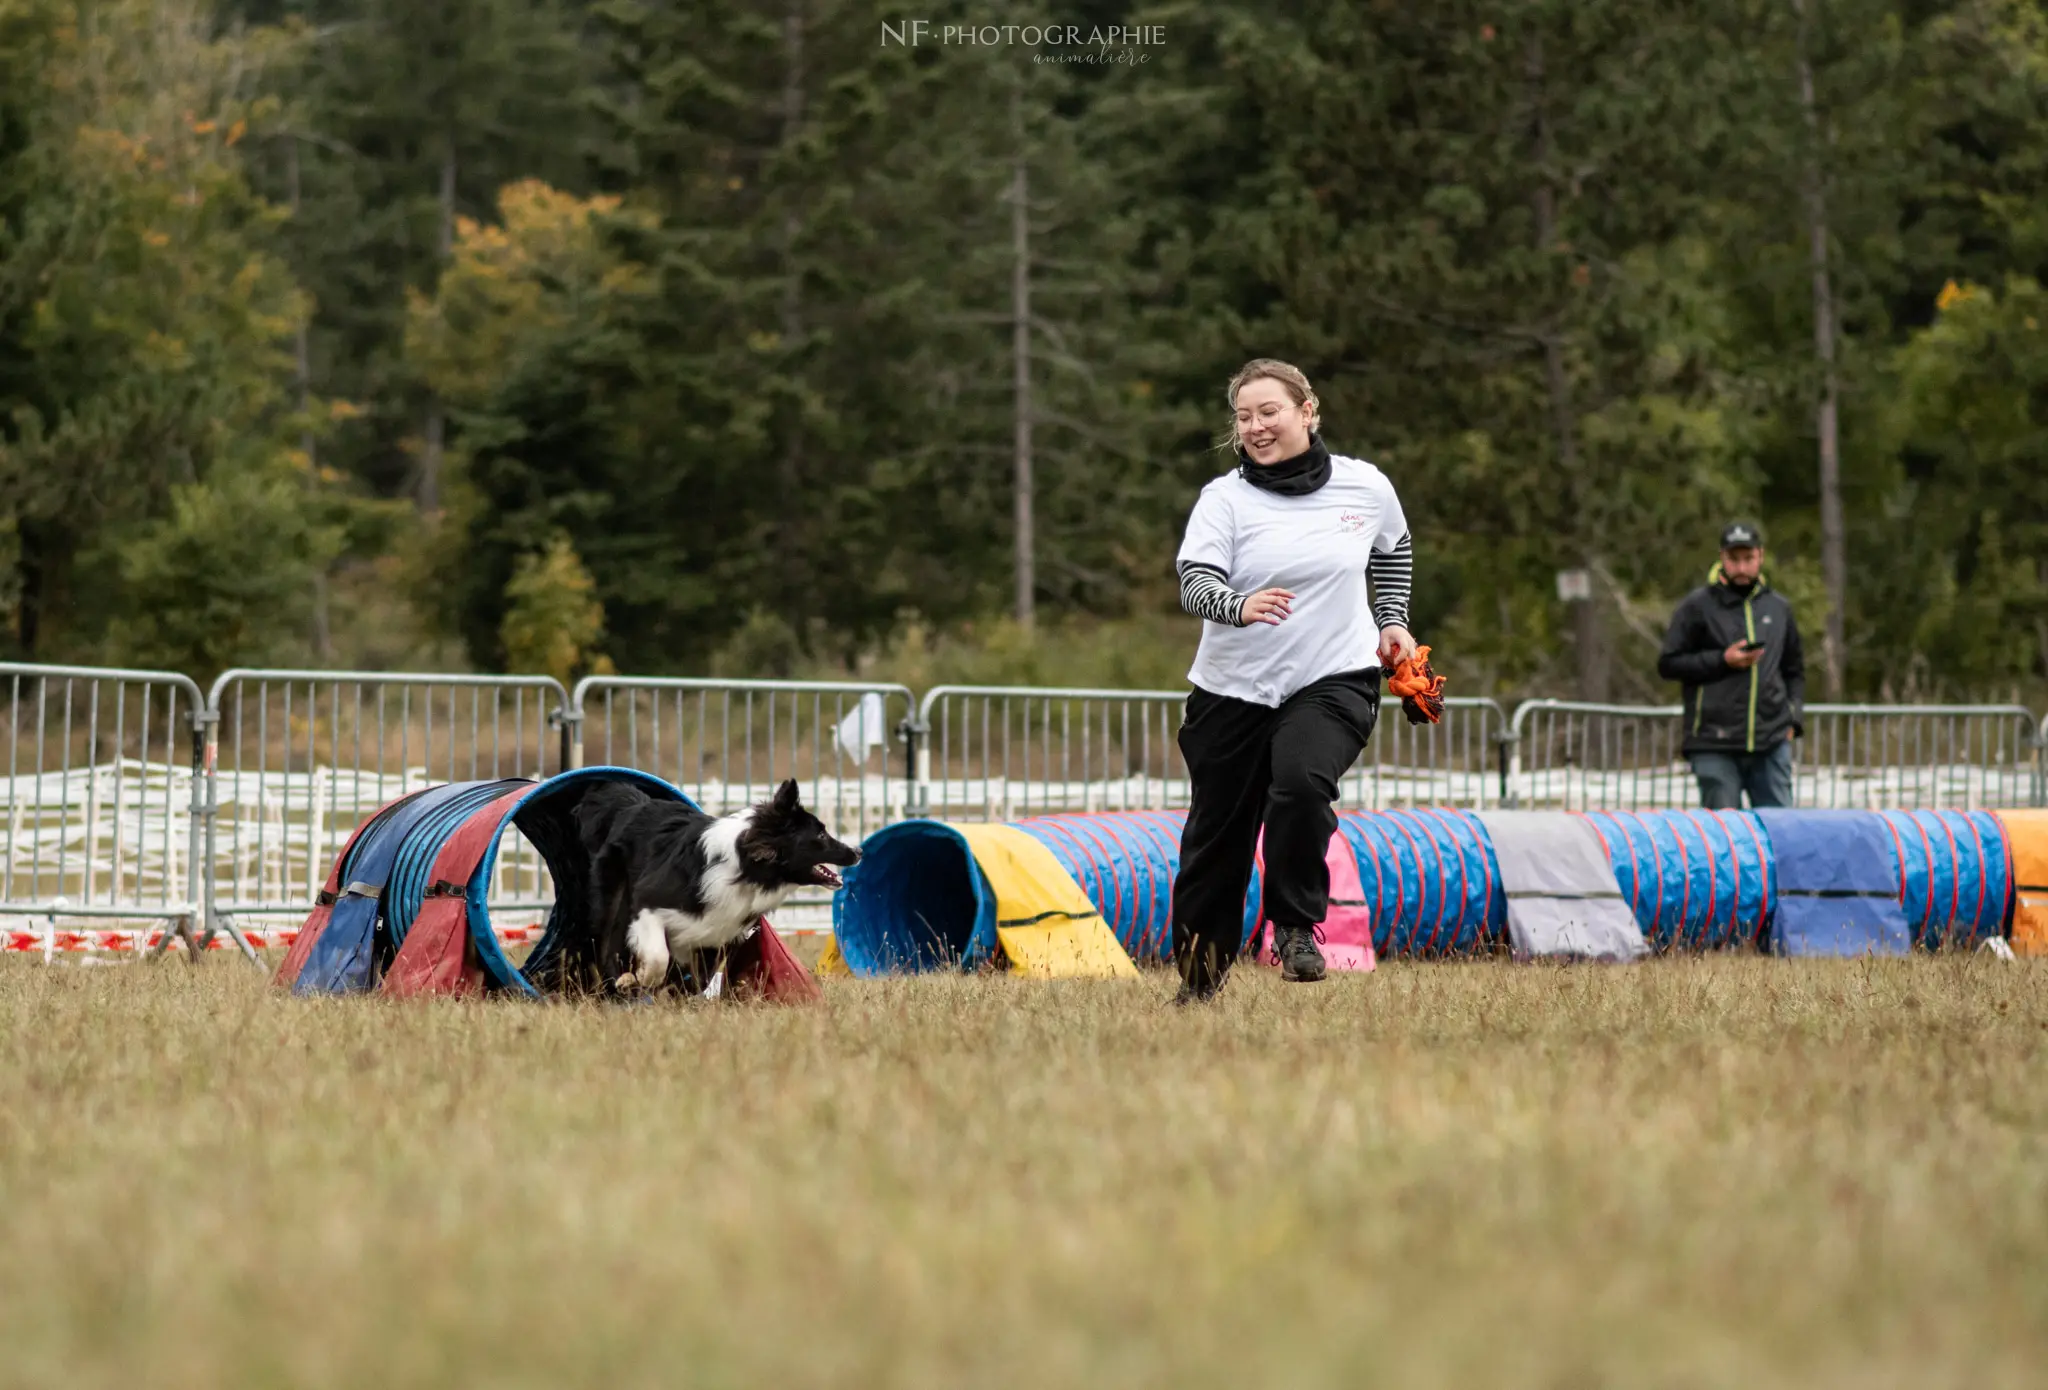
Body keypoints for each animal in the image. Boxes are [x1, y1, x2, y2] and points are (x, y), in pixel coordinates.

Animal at [573, 777, 860, 994]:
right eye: (820, 834)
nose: (858, 851)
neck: (743, 868)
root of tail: (632, 804)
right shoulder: (648, 904)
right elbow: (657, 956)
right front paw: (640, 979)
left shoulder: (715, 932)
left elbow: (697, 979)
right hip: (614, 897)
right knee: (608, 944)